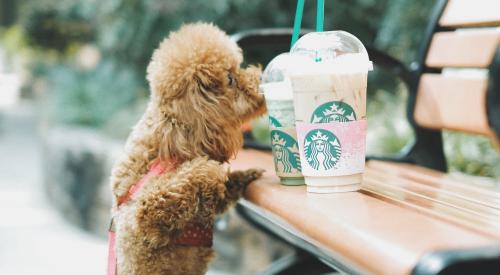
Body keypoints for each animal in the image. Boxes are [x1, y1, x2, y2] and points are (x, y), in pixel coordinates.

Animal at [108, 23, 268, 275]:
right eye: (230, 78)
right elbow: (195, 174)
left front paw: (247, 174)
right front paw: (209, 169)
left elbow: (222, 189)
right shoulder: (146, 213)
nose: (262, 77)